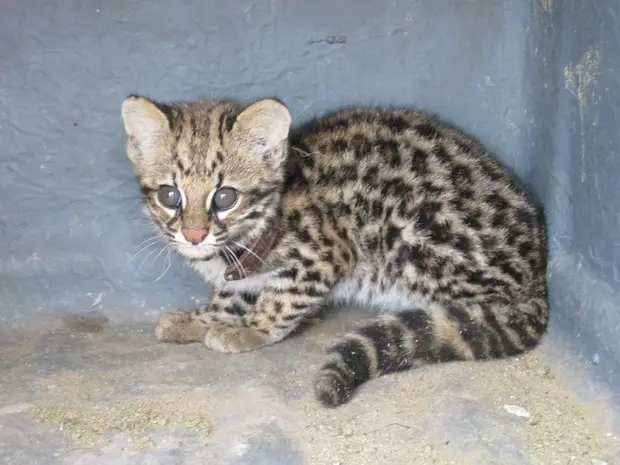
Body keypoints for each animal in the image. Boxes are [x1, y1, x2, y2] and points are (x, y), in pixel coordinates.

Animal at [120, 95, 548, 406]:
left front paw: (251, 329)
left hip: (412, 239)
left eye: (225, 197)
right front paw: (203, 318)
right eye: (169, 195)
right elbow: (231, 295)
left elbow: (282, 300)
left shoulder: (328, 254)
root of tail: (536, 279)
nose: (194, 235)